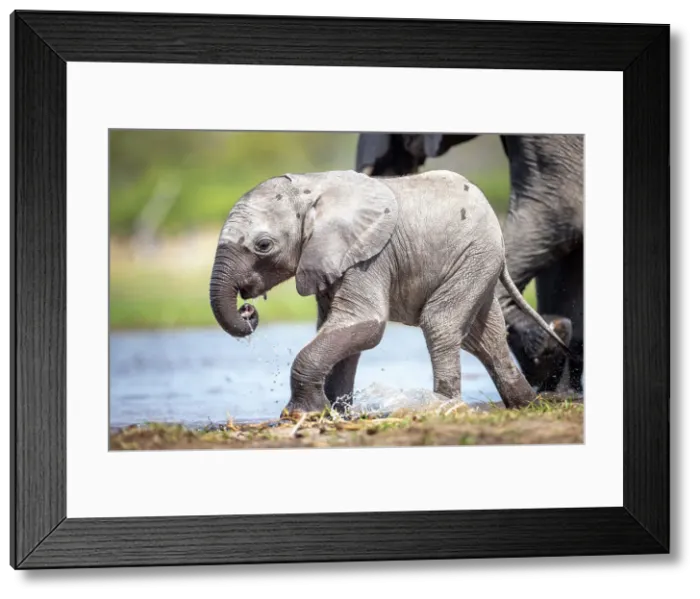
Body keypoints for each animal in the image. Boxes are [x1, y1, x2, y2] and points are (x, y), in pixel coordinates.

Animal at [209, 168, 572, 417]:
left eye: (263, 245)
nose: (247, 310)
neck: (311, 188)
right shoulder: (331, 259)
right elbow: (338, 329)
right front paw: (335, 412)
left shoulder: (369, 257)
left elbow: (364, 324)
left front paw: (301, 414)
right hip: (477, 262)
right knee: (484, 339)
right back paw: (528, 403)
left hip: (475, 255)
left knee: (440, 323)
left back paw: (444, 407)